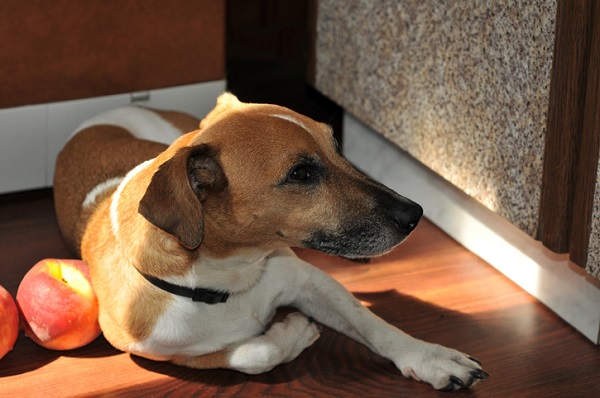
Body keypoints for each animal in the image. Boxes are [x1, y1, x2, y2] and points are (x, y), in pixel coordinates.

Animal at [52, 91, 488, 390]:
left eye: (337, 146)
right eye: (301, 173)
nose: (414, 215)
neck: (232, 276)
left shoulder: (311, 280)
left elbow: (372, 323)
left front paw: (430, 357)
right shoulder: (167, 354)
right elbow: (255, 352)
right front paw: (294, 332)